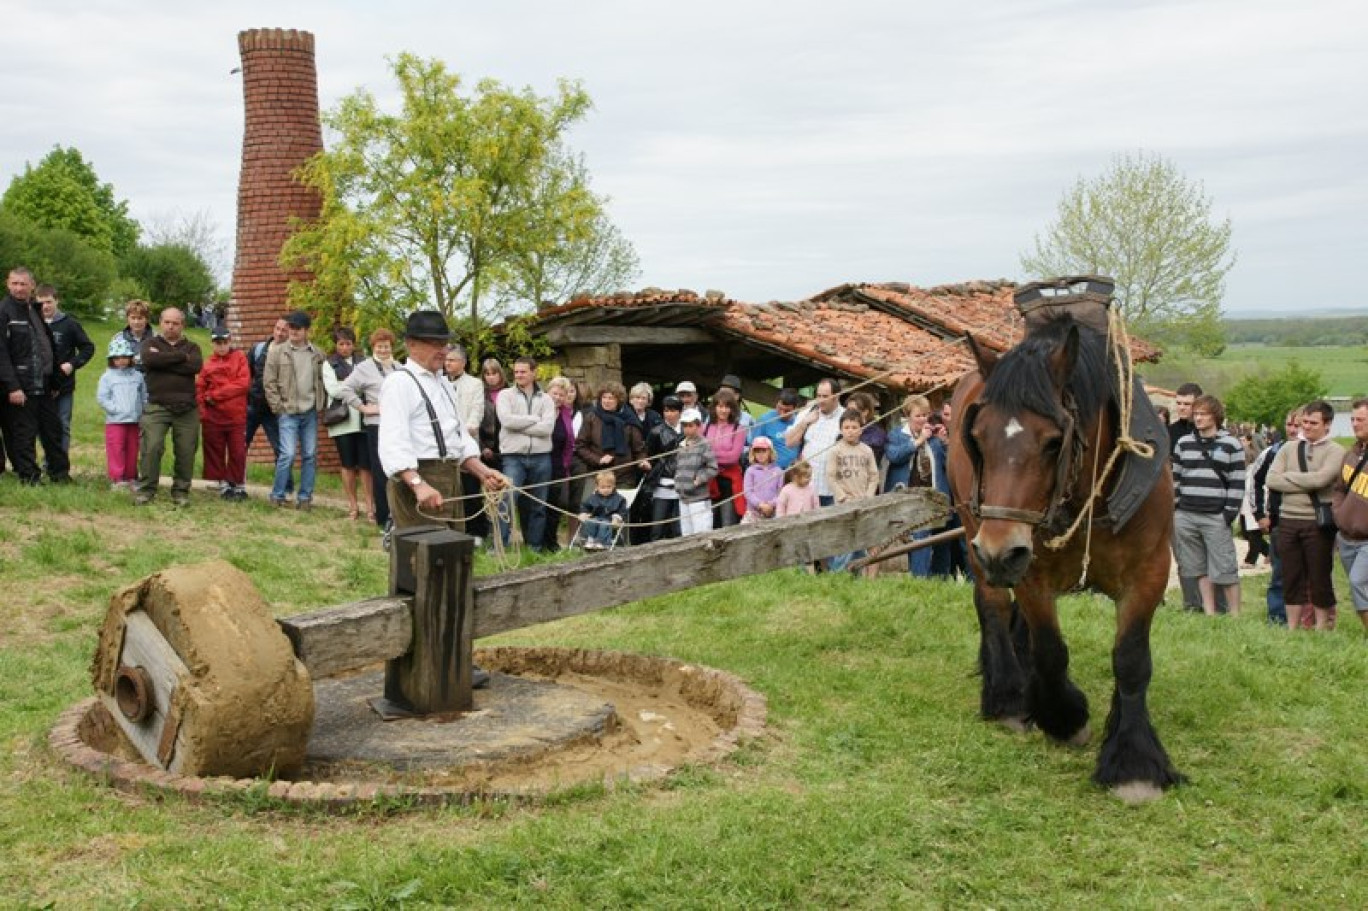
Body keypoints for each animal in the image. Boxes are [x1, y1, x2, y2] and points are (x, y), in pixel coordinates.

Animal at [946, 315, 1181, 798]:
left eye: (1054, 441)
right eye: (977, 437)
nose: (999, 551)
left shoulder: (1150, 571)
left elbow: (1131, 659)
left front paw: (1134, 760)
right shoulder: (1029, 572)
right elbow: (1051, 653)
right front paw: (1064, 717)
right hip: (974, 529)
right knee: (992, 606)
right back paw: (1009, 696)